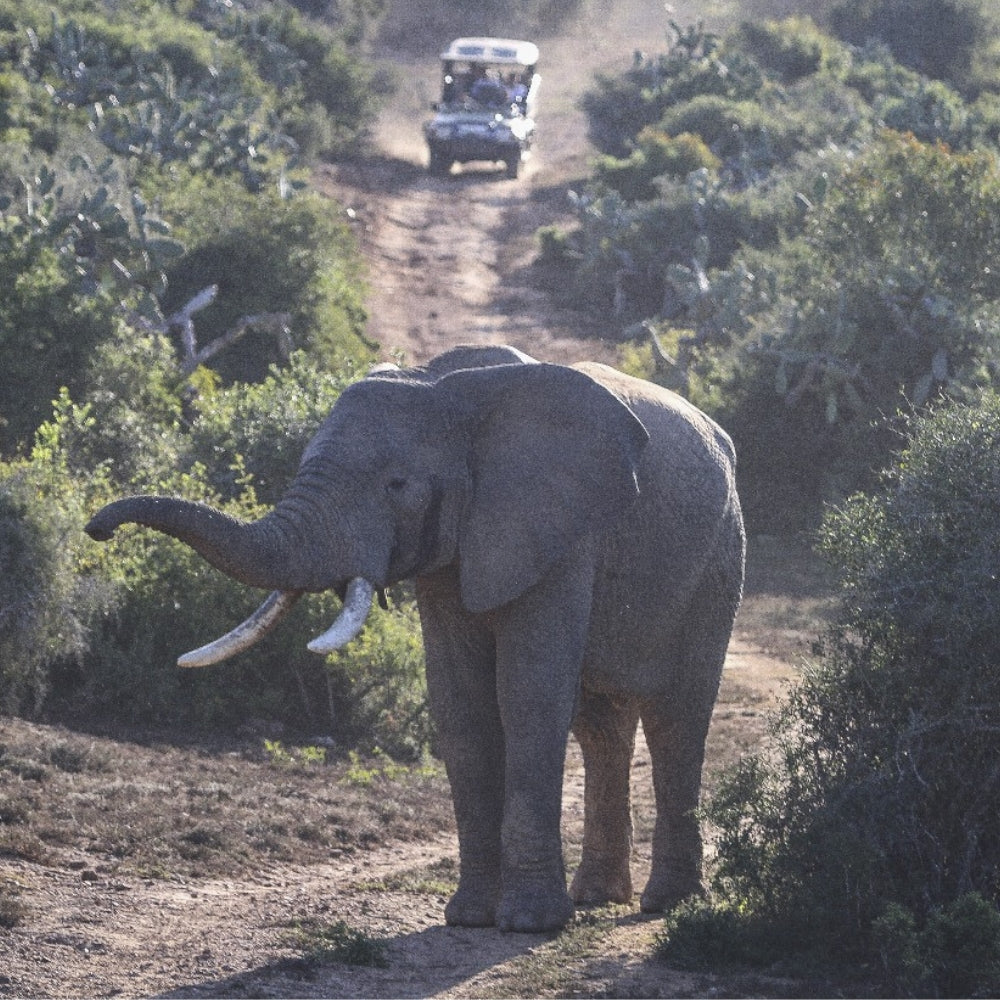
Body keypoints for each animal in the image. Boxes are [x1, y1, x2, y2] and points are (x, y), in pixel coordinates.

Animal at [85, 344, 745, 933]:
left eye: (397, 485)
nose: (98, 529)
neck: (447, 391)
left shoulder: (561, 531)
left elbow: (529, 697)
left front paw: (529, 925)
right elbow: (459, 703)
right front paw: (469, 918)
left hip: (719, 558)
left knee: (676, 718)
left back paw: (667, 905)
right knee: (602, 723)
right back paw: (596, 899)